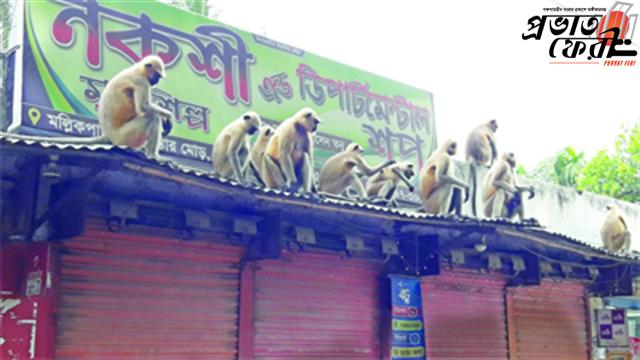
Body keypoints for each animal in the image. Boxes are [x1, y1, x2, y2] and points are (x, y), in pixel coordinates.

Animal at [6, 55, 175, 158]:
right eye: (157, 75)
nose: (156, 81)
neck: (137, 69)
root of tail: (108, 134)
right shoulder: (141, 81)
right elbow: (143, 107)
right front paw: (169, 116)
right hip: (125, 136)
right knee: (151, 118)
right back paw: (153, 156)